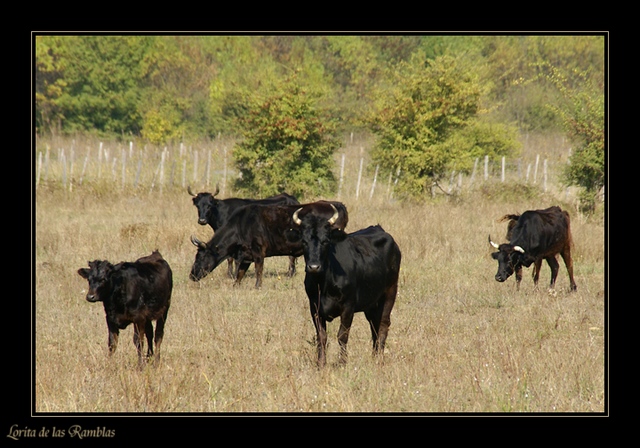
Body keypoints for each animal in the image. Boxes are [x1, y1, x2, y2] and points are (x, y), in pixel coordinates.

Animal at [190, 201, 350, 288]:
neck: (242, 224)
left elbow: (258, 271)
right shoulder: (246, 256)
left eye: (200, 257)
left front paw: (257, 287)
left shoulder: (258, 252)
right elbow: (240, 274)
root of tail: (337, 204)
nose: (192, 275)